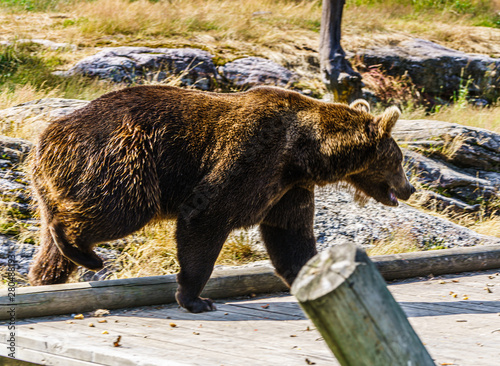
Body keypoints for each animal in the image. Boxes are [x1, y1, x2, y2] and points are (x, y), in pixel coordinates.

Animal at [29, 85, 416, 312]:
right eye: (399, 160)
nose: (409, 188)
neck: (305, 154)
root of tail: (48, 134)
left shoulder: (287, 188)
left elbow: (291, 237)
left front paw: (310, 275)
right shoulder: (252, 154)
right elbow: (206, 215)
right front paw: (196, 298)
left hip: (64, 176)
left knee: (53, 235)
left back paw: (46, 276)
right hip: (122, 156)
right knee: (119, 208)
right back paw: (85, 253)